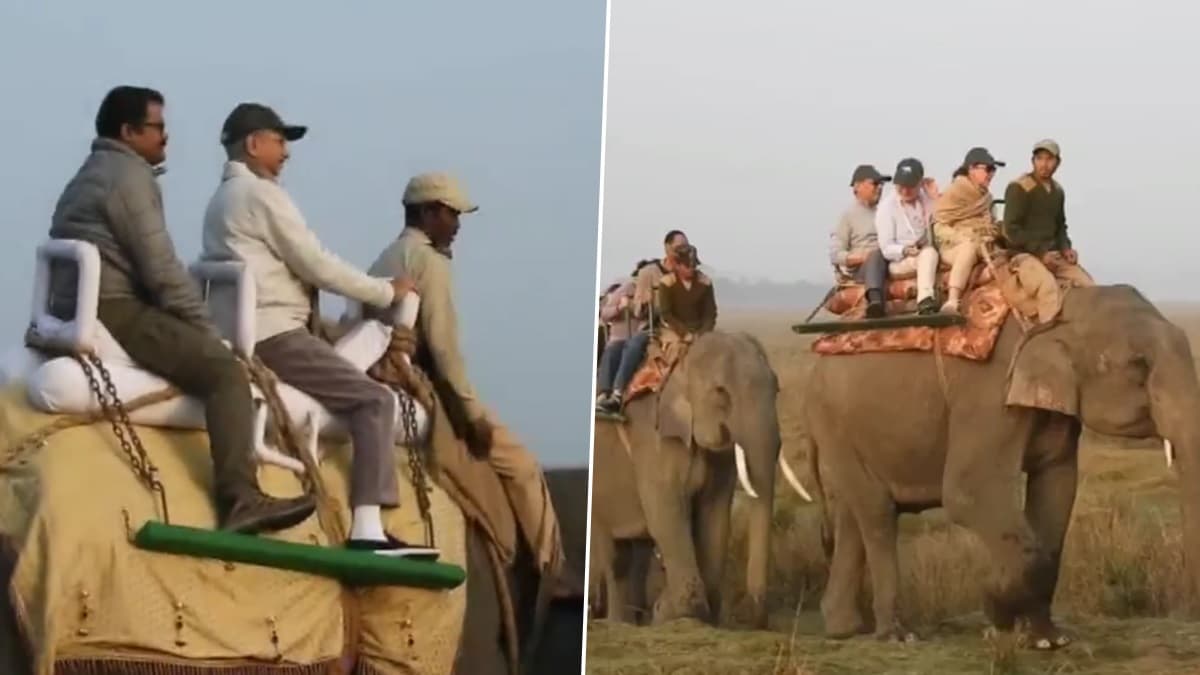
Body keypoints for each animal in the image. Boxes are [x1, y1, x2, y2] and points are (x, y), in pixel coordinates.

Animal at [588, 329, 811, 629]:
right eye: (721, 392)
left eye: (776, 389)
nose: (748, 615)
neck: (681, 359)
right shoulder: (652, 434)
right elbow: (666, 513)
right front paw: (670, 612)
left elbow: (714, 512)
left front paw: (697, 612)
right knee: (613, 555)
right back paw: (616, 623)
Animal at [801, 282, 1200, 648]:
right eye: (1139, 366)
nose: (1187, 616)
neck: (1057, 307)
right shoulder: (989, 394)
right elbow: (968, 492)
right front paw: (996, 612)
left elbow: (1057, 487)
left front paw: (1047, 639)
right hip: (833, 422)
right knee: (877, 514)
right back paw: (898, 635)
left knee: (854, 514)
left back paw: (845, 629)